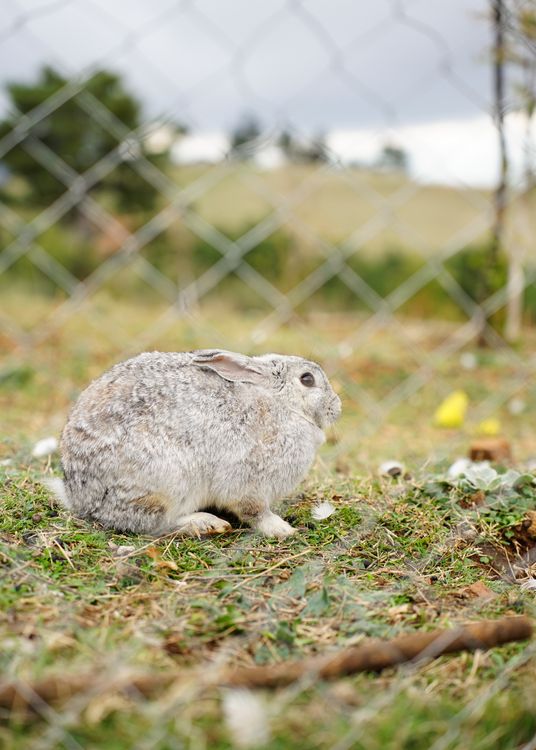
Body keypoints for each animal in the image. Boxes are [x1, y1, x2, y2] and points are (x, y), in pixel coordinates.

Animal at [47, 349, 341, 539]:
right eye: (307, 379)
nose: (336, 407)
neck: (282, 404)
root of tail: (81, 499)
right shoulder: (248, 480)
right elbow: (254, 510)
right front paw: (282, 529)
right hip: (166, 480)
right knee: (153, 523)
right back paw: (205, 523)